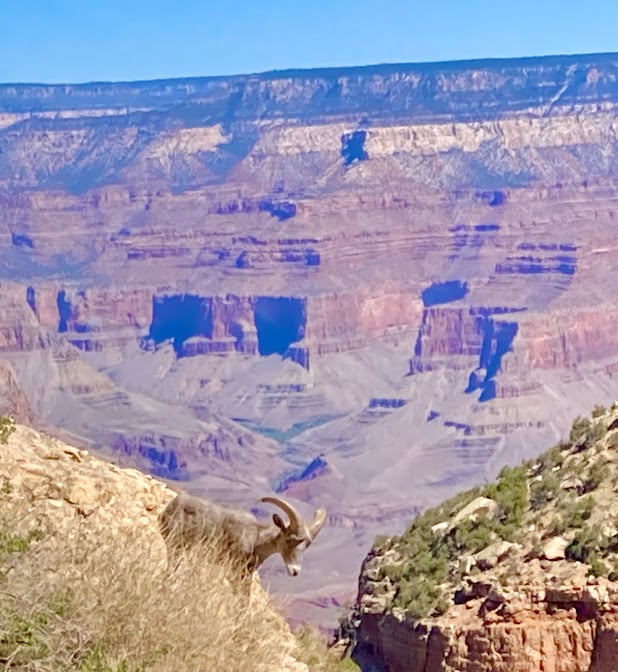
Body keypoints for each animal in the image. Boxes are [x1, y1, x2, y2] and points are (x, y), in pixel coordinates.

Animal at [158, 490, 328, 576]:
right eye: (290, 539)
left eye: (306, 545)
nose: (295, 571)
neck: (256, 539)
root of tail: (170, 507)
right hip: (176, 547)